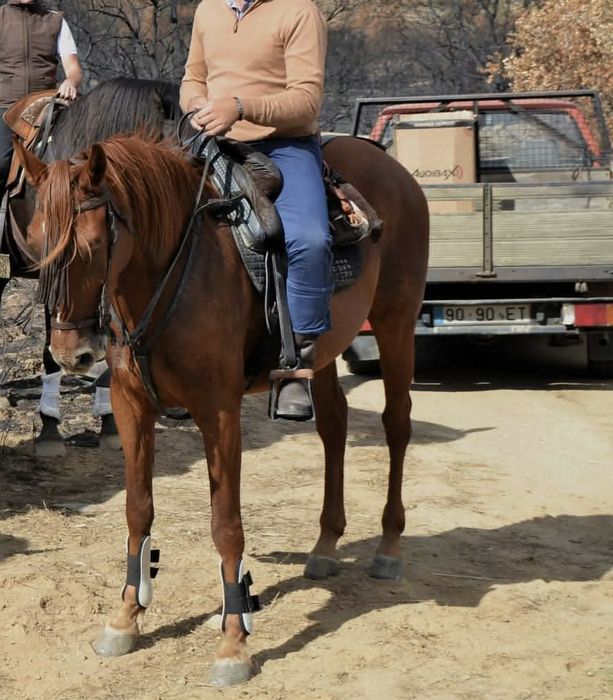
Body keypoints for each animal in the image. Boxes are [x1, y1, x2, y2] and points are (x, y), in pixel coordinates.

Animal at [15, 131, 429, 686]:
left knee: (397, 423)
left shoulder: (219, 412)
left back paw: (388, 547)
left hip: (396, 322)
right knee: (335, 426)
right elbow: (137, 509)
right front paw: (126, 617)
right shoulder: (129, 405)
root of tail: (394, 169)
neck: (173, 272)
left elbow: (226, 526)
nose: (70, 355)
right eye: (35, 241)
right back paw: (325, 545)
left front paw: (235, 642)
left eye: (94, 245)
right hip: (324, 352)